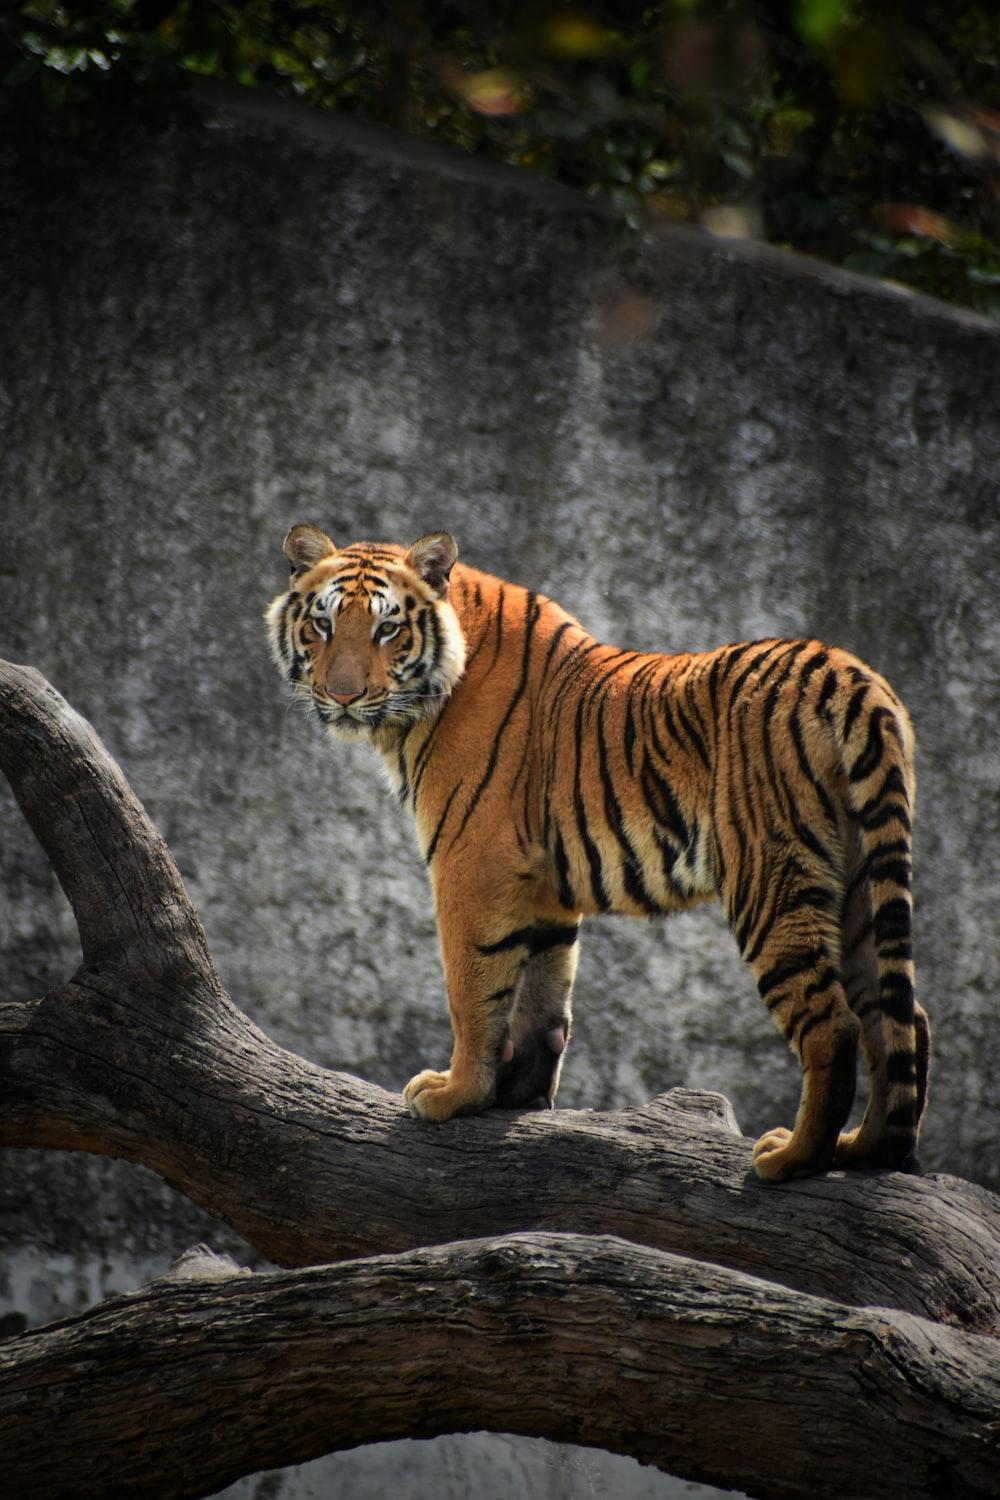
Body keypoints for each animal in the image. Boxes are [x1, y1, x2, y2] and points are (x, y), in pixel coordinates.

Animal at [265, 523, 929, 1182]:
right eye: (323, 624)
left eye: (387, 629)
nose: (343, 696)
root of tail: (849, 674)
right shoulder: (541, 885)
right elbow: (542, 994)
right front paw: (517, 1095)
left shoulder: (471, 862)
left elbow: (472, 987)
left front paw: (456, 1094)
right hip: (861, 882)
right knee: (899, 1018)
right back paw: (864, 1150)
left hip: (770, 879)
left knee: (834, 1024)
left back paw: (791, 1159)